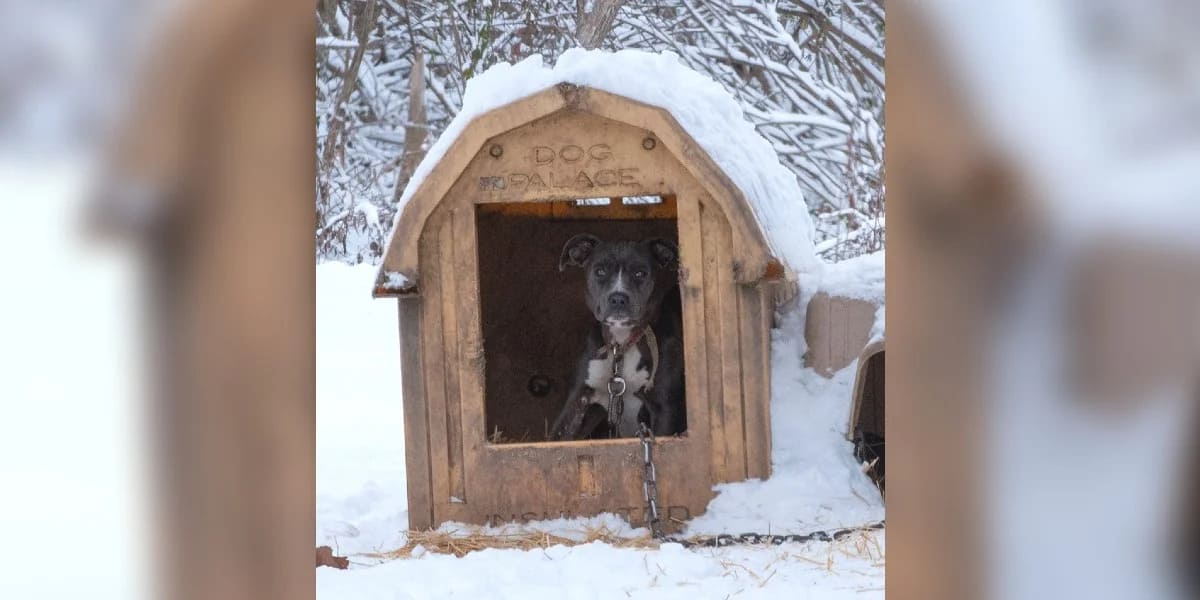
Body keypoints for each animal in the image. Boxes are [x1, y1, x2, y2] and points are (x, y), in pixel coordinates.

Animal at [549, 233, 686, 441]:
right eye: (600, 271)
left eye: (640, 273)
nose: (618, 298)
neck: (621, 345)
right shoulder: (577, 401)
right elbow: (557, 438)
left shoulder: (664, 408)